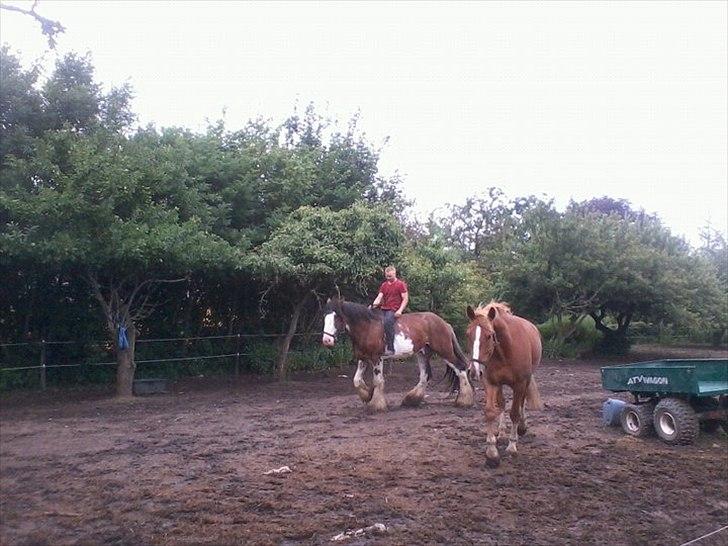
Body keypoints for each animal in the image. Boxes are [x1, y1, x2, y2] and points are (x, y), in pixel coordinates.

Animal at [322, 298, 472, 412]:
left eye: (337, 318)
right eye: (324, 318)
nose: (327, 340)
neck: (367, 328)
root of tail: (444, 323)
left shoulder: (376, 358)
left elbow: (378, 380)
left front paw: (377, 405)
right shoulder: (363, 358)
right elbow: (357, 380)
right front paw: (367, 395)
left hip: (444, 350)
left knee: (460, 368)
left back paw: (464, 401)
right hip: (422, 353)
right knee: (425, 376)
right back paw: (411, 400)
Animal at [466, 300, 540, 466]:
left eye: (489, 336)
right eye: (467, 334)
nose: (474, 371)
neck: (505, 351)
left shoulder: (520, 384)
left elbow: (514, 413)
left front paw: (512, 446)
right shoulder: (491, 383)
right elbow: (490, 411)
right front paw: (492, 452)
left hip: (525, 382)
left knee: (521, 403)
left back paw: (521, 428)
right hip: (500, 385)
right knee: (501, 404)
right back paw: (501, 432)